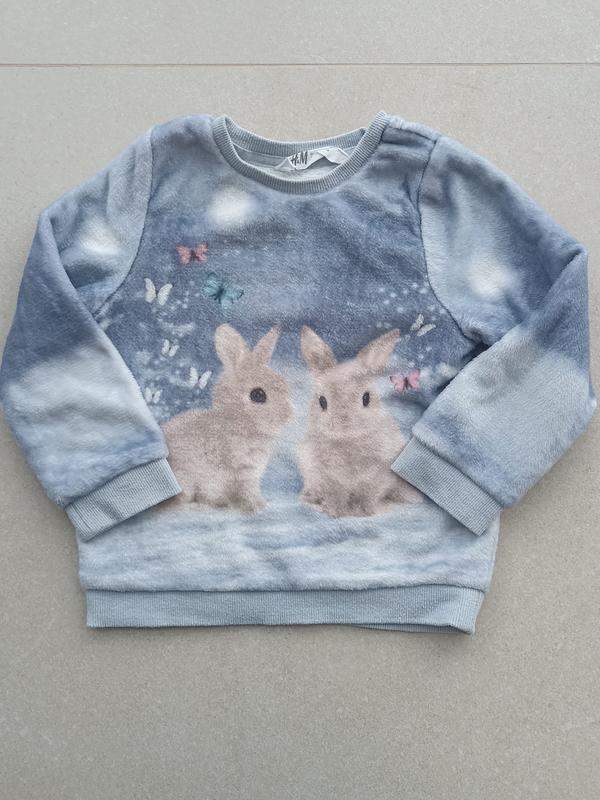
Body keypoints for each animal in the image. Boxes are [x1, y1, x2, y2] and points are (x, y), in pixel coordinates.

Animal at [160, 324, 293, 513]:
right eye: (258, 395)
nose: (288, 414)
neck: (234, 422)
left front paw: (261, 504)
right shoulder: (241, 471)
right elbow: (246, 491)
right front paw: (255, 507)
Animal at [297, 325, 423, 518]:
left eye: (366, 398)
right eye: (322, 401)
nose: (342, 423)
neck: (347, 441)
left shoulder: (376, 477)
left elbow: (366, 495)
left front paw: (364, 511)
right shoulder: (327, 477)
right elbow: (334, 495)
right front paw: (334, 511)